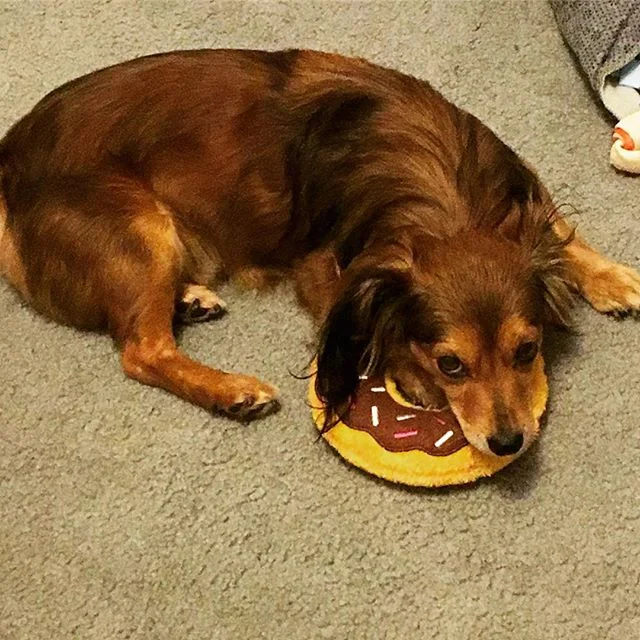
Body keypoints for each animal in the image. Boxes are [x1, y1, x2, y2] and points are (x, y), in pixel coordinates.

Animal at [1, 50, 640, 458]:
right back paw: (232, 392)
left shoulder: (521, 186)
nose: (507, 443)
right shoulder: (323, 266)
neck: (442, 196)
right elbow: (361, 316)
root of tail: (8, 158)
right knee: (141, 351)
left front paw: (614, 279)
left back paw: (192, 301)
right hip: (142, 229)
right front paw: (407, 372)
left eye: (528, 350)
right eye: (450, 364)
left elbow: (564, 234)